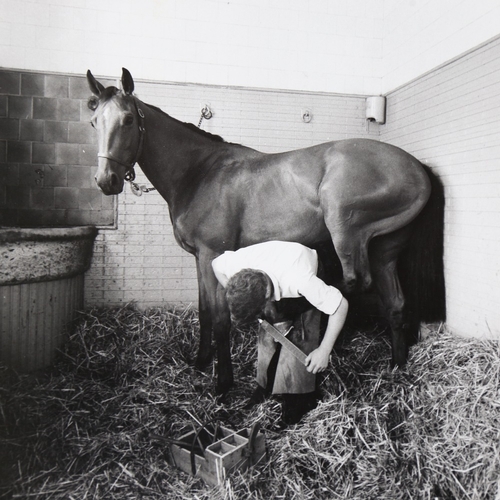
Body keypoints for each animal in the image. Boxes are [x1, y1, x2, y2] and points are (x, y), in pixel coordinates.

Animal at [86, 67, 446, 394]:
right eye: (94, 122)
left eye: (128, 120)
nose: (106, 181)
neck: (198, 173)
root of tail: (417, 168)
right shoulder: (199, 259)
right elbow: (204, 311)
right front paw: (200, 362)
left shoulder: (212, 254)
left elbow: (220, 318)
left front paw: (223, 383)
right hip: (384, 251)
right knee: (394, 303)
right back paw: (396, 365)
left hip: (344, 228)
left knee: (354, 282)